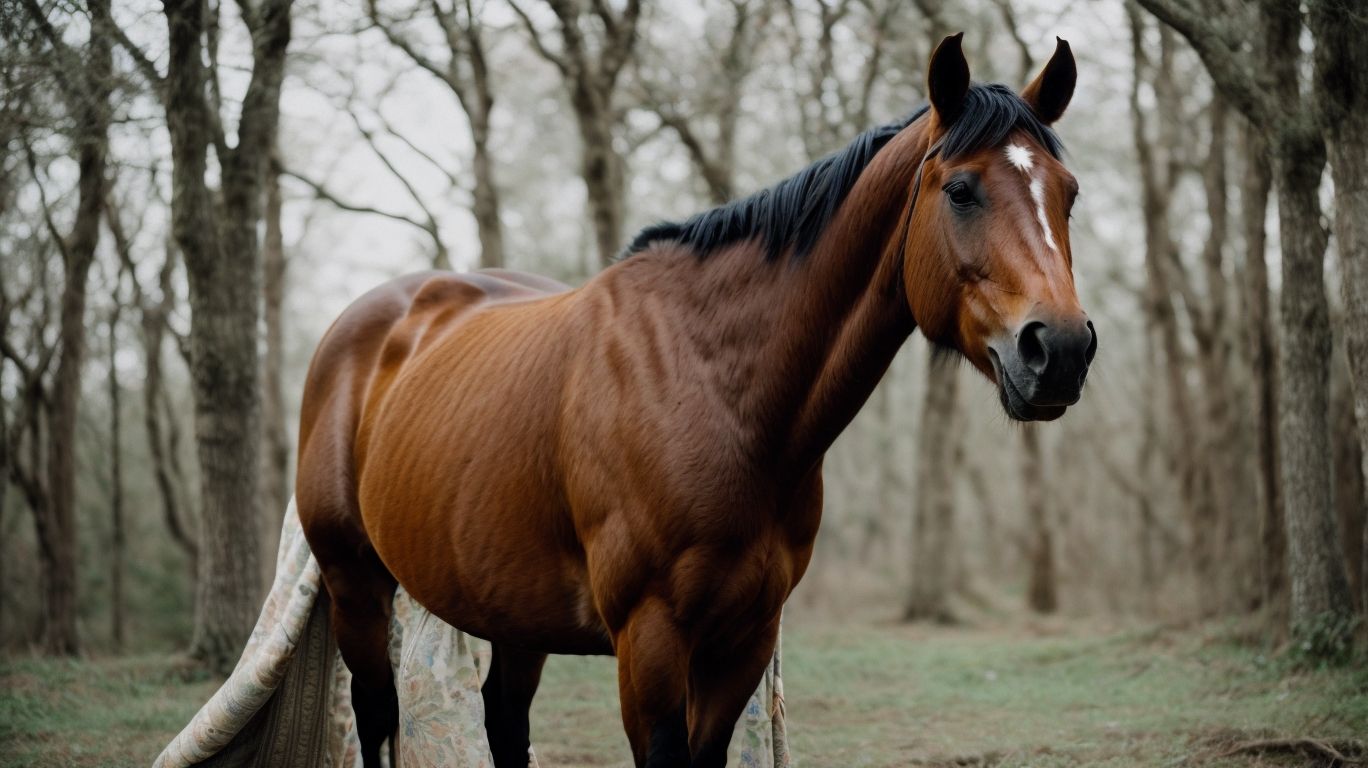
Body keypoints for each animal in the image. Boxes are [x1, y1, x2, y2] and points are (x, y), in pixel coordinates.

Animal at [296, 34, 1094, 768]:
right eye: (960, 189)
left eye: (1068, 193)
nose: (1059, 350)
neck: (720, 394)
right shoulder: (649, 642)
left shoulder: (744, 639)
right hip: (356, 585)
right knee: (376, 715)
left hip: (511, 610)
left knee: (503, 718)